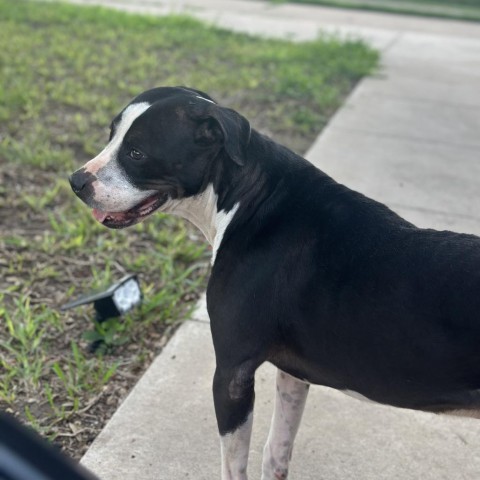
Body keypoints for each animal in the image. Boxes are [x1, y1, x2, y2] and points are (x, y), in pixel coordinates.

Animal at [69, 87, 480, 480]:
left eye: (137, 153)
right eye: (111, 135)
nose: (76, 181)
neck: (247, 194)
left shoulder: (231, 375)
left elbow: (234, 466)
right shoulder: (293, 375)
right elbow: (275, 451)